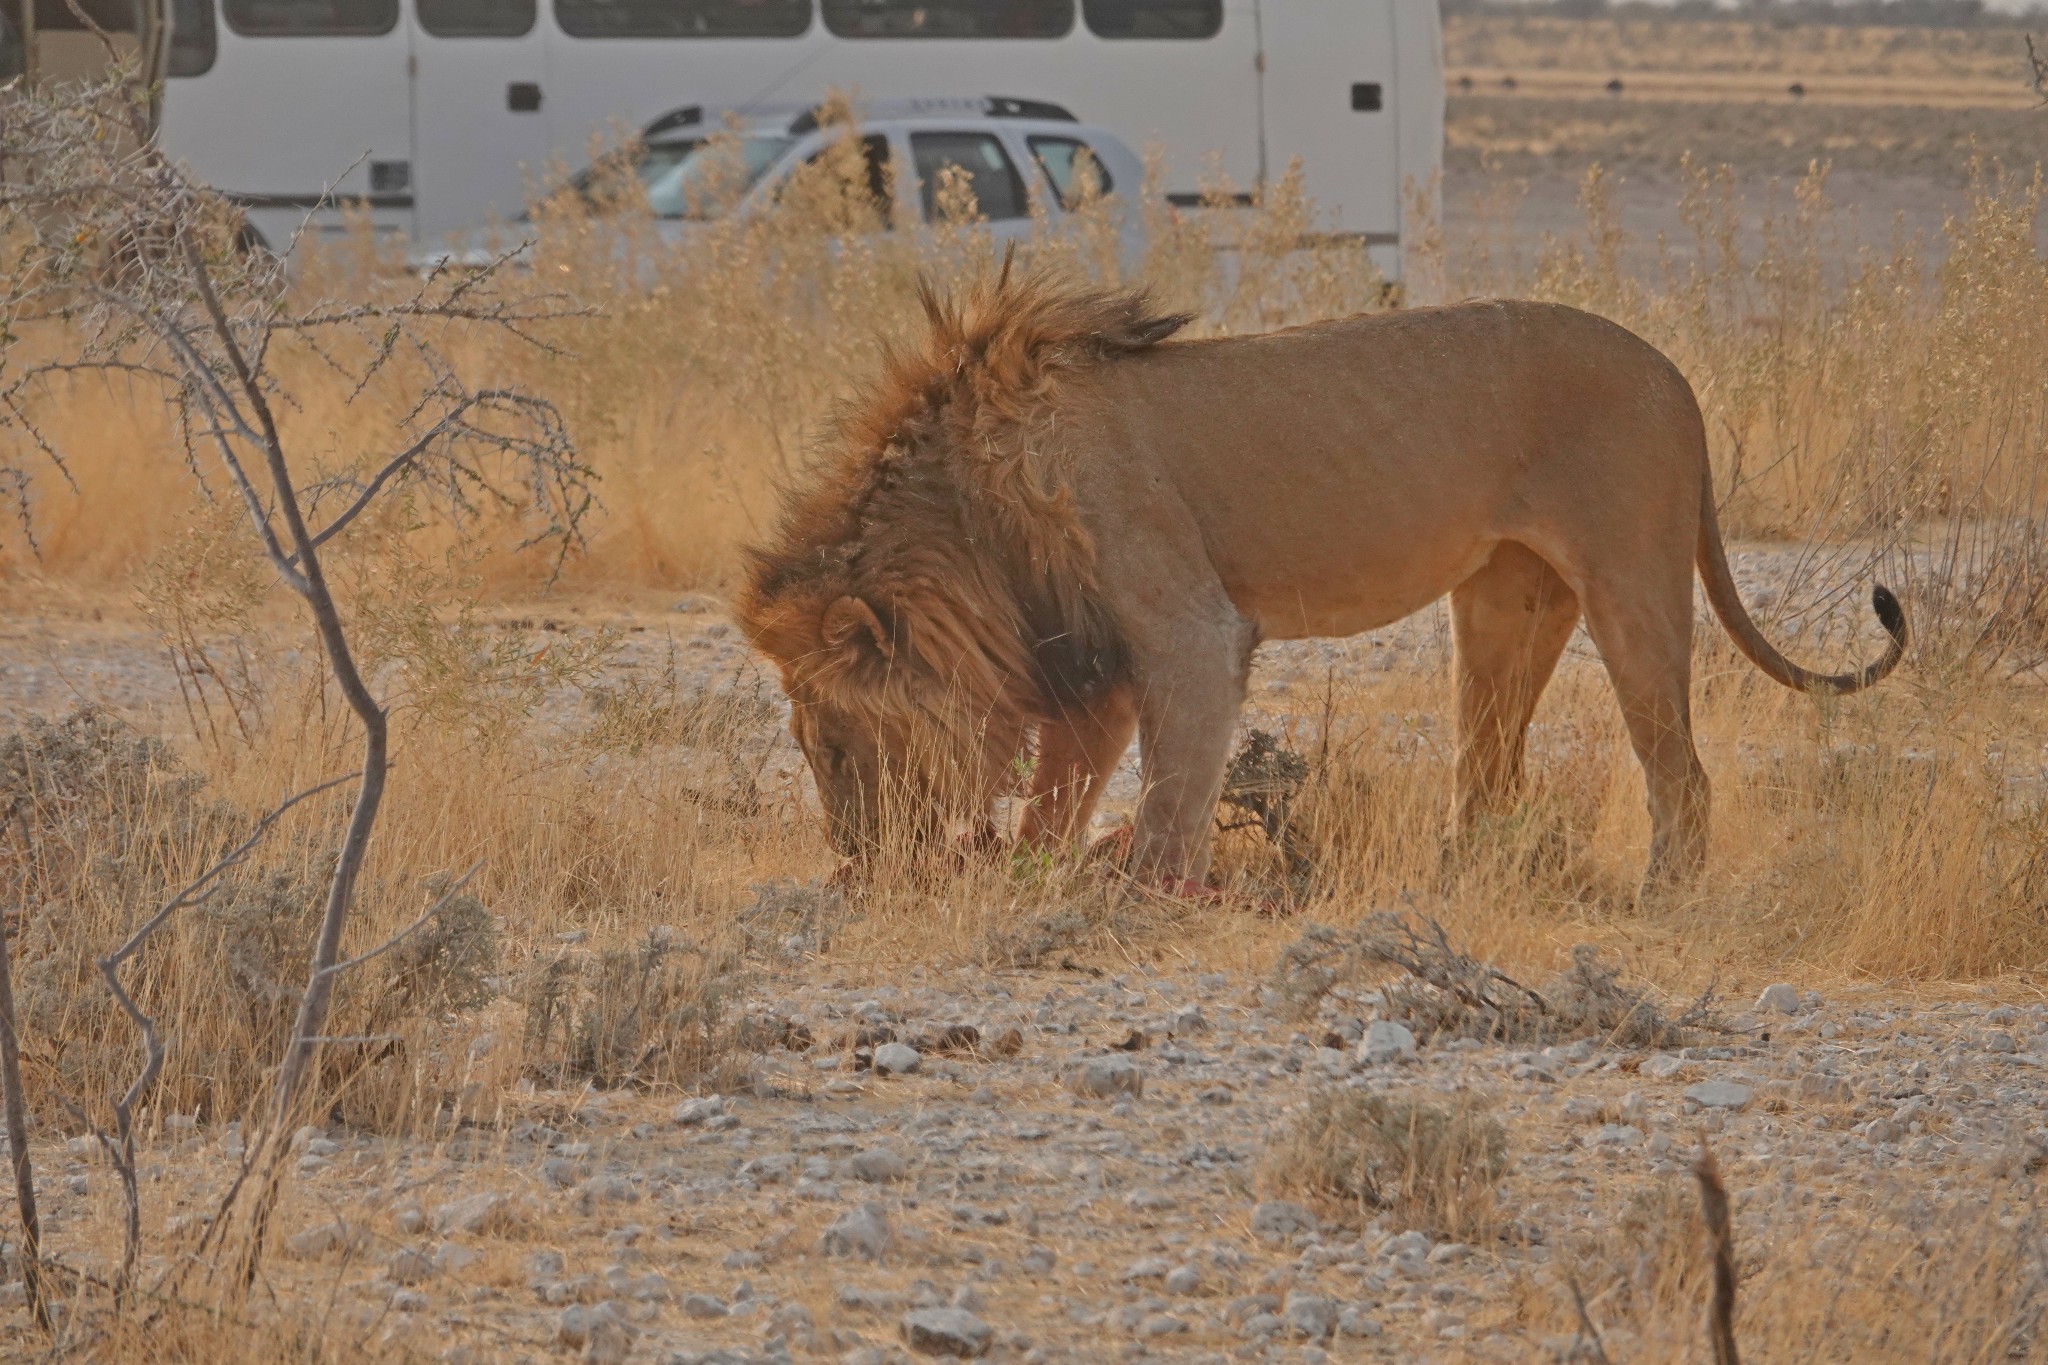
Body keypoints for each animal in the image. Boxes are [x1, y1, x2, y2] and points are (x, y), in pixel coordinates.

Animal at [737, 270, 1900, 892]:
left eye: (832, 747)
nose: (853, 865)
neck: (974, 512)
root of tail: (1674, 373)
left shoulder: (1188, 630)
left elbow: (1169, 797)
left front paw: (1143, 895)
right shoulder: (1084, 662)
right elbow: (1054, 805)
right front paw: (1044, 878)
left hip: (1632, 587)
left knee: (1680, 776)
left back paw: (1658, 897)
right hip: (1500, 608)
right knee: (1488, 777)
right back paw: (1447, 884)